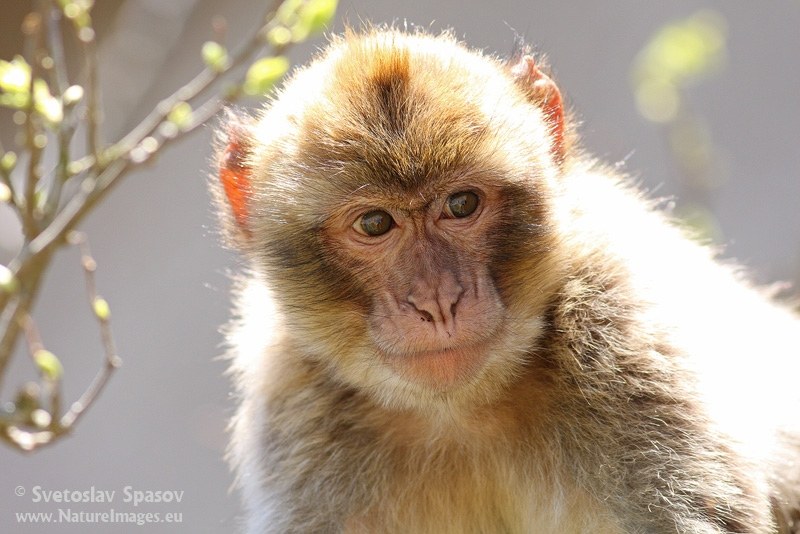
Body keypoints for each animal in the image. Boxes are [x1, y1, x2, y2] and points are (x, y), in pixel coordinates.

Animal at [211, 29, 800, 534]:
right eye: (375, 223)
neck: (462, 411)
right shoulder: (296, 410)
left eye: (461, 204)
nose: (438, 301)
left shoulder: (623, 339)